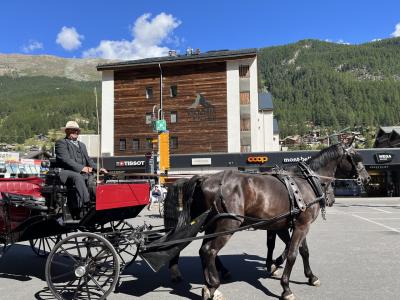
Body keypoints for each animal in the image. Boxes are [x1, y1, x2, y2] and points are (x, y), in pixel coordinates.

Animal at [168, 144, 368, 300]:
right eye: (356, 158)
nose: (366, 178)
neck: (305, 182)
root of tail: (205, 177)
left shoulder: (294, 225)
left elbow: (303, 251)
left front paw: (310, 276)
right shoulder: (301, 226)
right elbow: (292, 254)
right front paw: (286, 287)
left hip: (212, 225)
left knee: (203, 250)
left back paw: (210, 285)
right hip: (227, 224)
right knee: (209, 250)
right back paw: (213, 285)